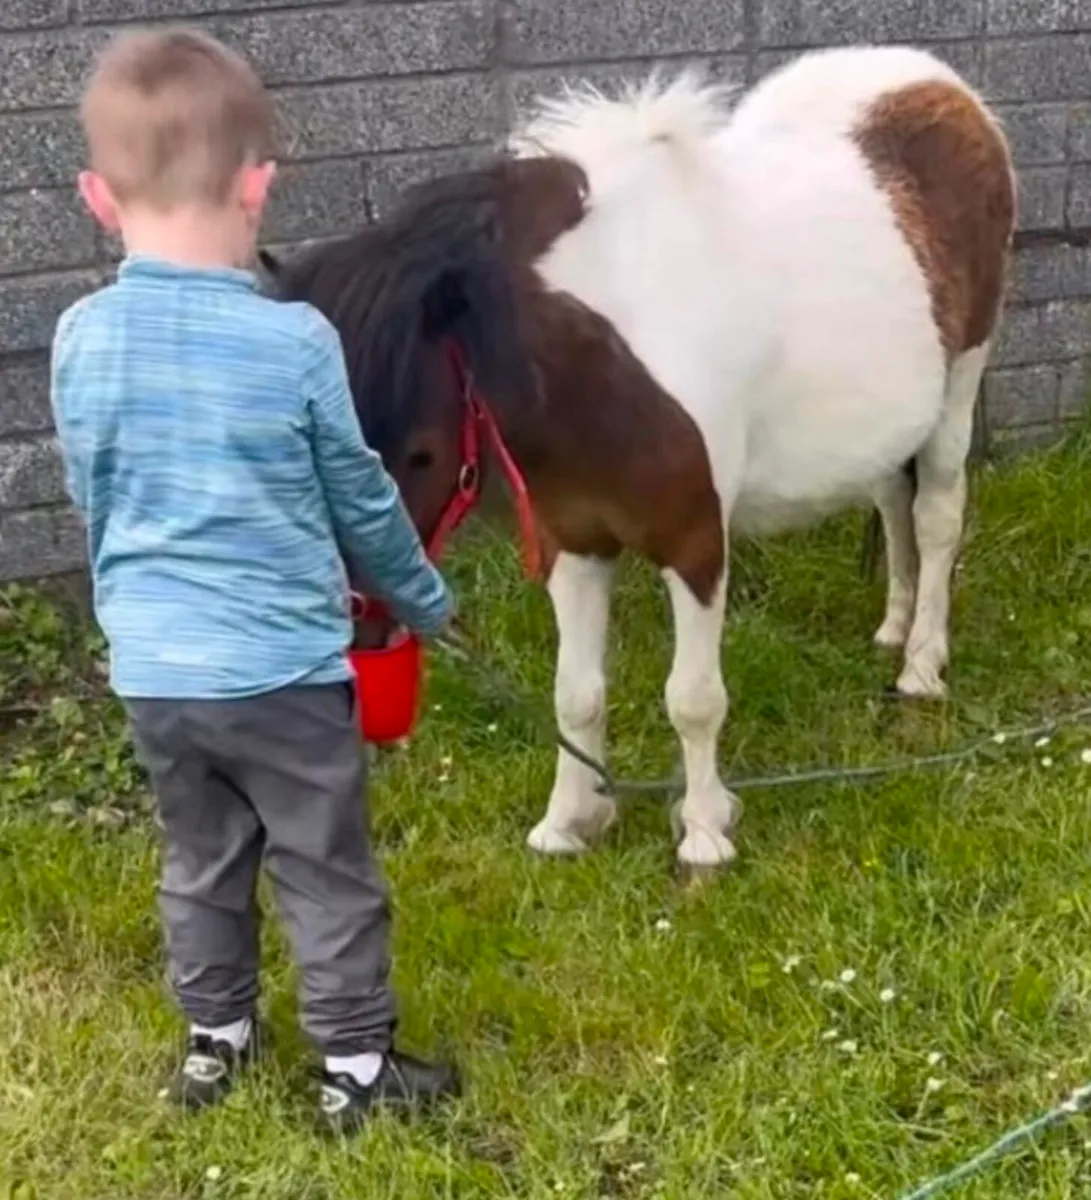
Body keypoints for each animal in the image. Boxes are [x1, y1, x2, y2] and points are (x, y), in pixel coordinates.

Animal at [260, 44, 1016, 869]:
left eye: (423, 454)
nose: (357, 629)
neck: (605, 360)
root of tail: (940, 83)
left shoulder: (694, 544)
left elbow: (692, 699)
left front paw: (704, 835)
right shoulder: (575, 542)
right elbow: (574, 693)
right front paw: (568, 822)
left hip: (959, 384)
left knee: (936, 517)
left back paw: (921, 666)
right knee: (889, 500)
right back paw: (893, 629)